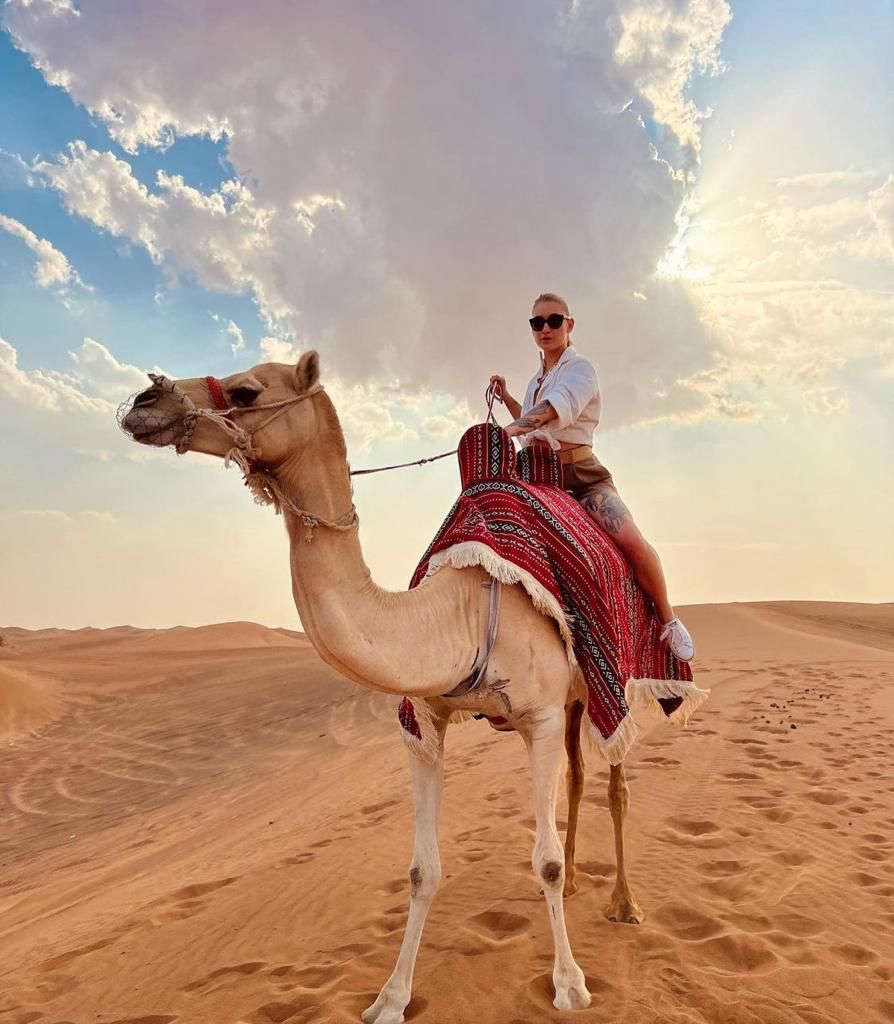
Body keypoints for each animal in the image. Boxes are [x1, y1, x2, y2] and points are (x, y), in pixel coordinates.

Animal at [121, 352, 695, 1022]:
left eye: (246, 390)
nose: (144, 402)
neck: (460, 609)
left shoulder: (541, 716)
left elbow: (544, 861)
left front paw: (571, 985)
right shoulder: (426, 718)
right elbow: (422, 870)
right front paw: (390, 997)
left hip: (615, 682)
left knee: (615, 784)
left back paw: (624, 904)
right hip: (577, 699)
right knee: (578, 778)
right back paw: (583, 880)